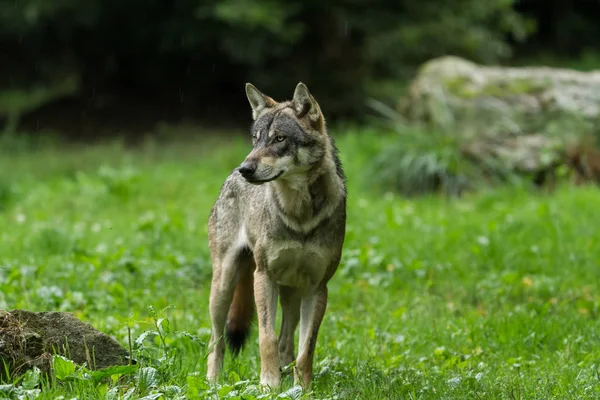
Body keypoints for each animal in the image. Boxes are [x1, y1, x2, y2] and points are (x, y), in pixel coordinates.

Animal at [206, 82, 346, 390]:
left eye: (279, 138)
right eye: (256, 139)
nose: (246, 169)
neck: (299, 214)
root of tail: (228, 177)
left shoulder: (318, 288)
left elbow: (306, 348)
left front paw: (302, 389)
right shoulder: (263, 276)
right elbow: (265, 338)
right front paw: (269, 385)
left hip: (292, 293)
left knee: (286, 342)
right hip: (223, 285)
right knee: (215, 339)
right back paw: (213, 382)